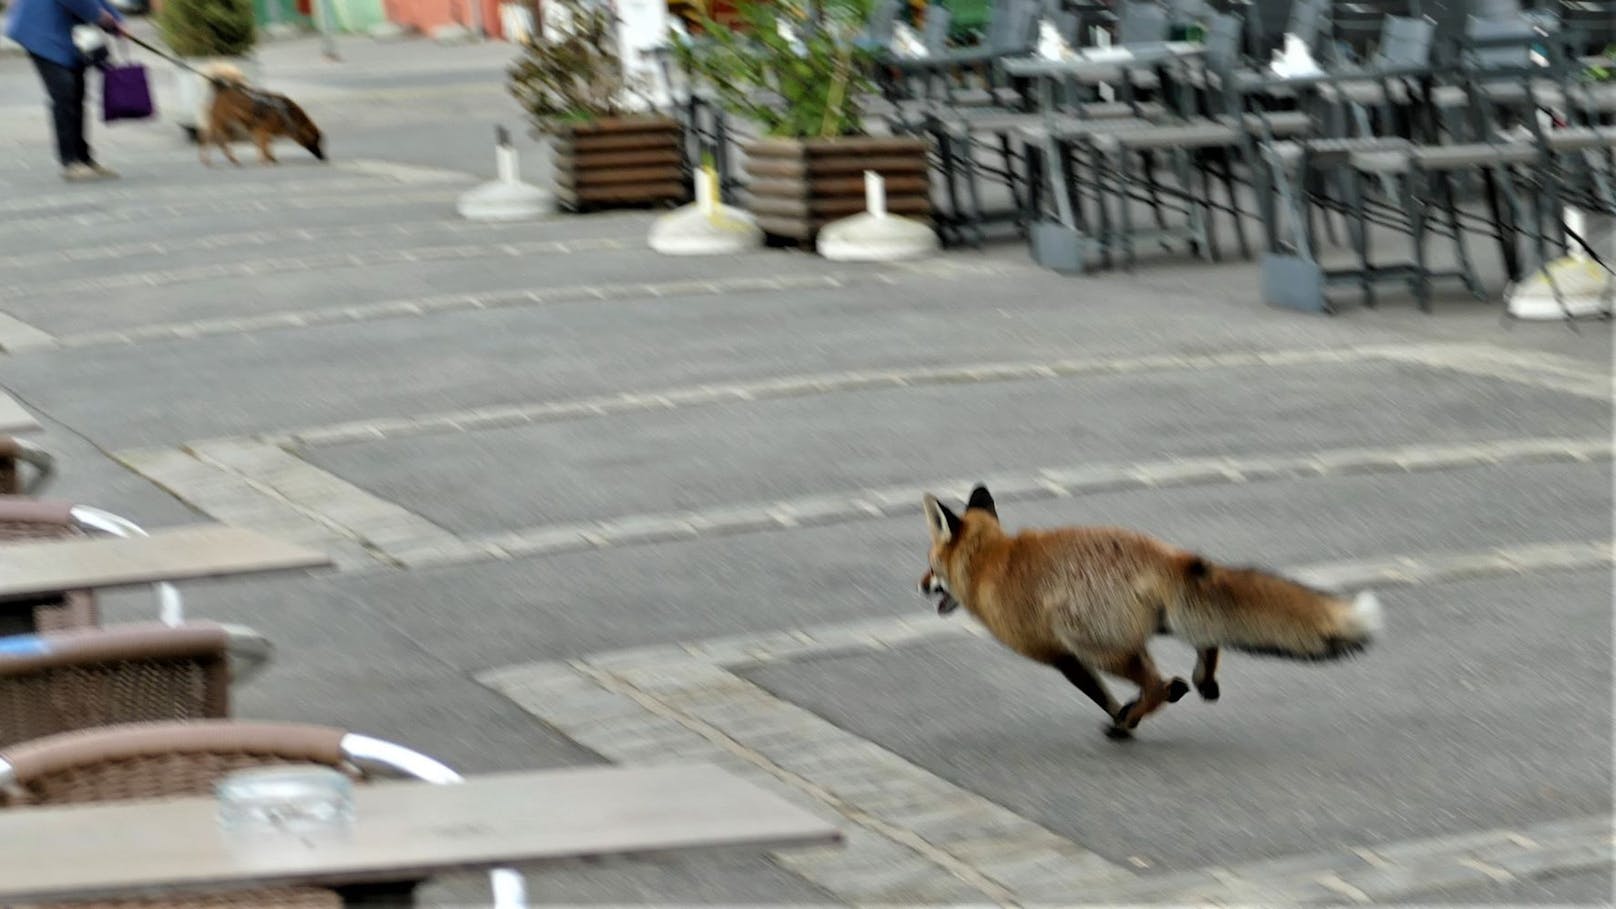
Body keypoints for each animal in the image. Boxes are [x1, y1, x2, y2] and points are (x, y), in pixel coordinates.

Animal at [917, 481, 1383, 737]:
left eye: (931, 564)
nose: (919, 585)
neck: (991, 562)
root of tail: (1165, 556)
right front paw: (1137, 709)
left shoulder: (1060, 654)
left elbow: (1101, 696)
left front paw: (1123, 716)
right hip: (1158, 626)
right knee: (1203, 645)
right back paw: (1199, 682)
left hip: (1101, 647)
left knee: (1156, 684)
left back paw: (1130, 722)